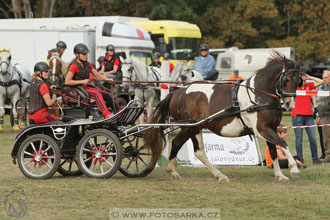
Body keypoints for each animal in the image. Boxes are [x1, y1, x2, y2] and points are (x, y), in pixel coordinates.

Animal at [144, 51, 302, 182]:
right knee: (199, 151)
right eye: (286, 79)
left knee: (178, 143)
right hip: (193, 128)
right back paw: (219, 175)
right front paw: (294, 168)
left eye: (298, 80)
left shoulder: (271, 128)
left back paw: (174, 171)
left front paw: (280, 175)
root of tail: (178, 92)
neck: (258, 94)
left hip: (190, 127)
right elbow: (283, 143)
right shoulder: (262, 129)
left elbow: (274, 151)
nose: (289, 104)